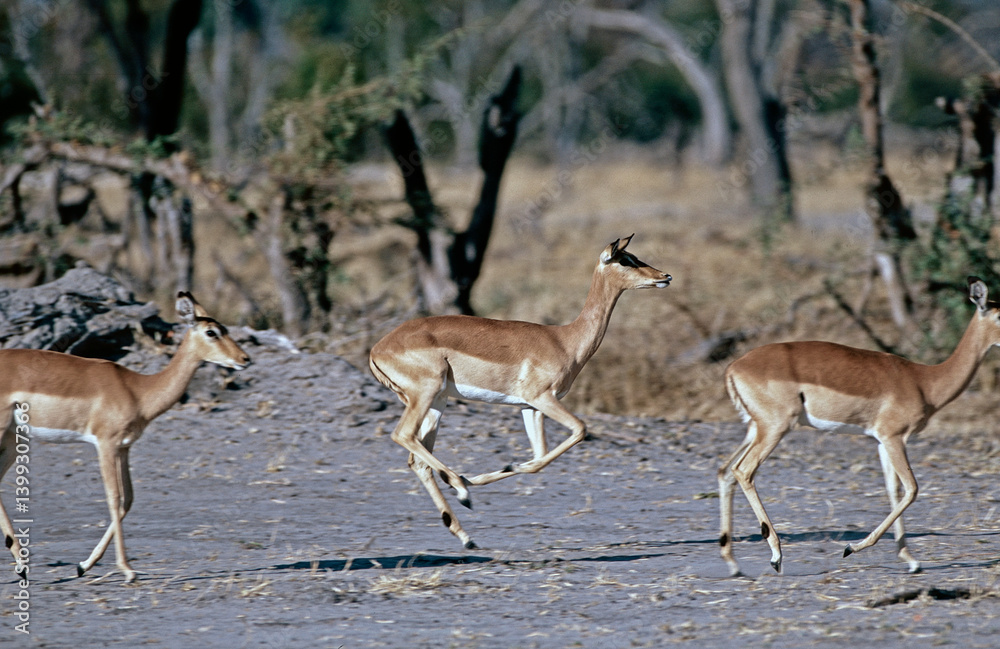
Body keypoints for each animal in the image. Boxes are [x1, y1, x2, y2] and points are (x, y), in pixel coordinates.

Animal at [0, 292, 250, 583]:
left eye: (225, 329)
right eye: (212, 332)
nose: (245, 359)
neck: (138, 391)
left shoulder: (124, 448)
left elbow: (128, 500)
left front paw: (84, 565)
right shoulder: (105, 445)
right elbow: (113, 498)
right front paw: (127, 570)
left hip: (13, 439)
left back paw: (22, 566)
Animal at [369, 235, 670, 549]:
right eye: (625, 260)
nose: (664, 276)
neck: (565, 341)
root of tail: (377, 349)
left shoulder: (529, 407)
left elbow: (538, 457)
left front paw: (494, 472)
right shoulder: (543, 398)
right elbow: (579, 429)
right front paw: (476, 479)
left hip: (438, 402)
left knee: (419, 460)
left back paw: (466, 534)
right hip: (426, 395)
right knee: (403, 435)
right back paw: (462, 491)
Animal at [719, 277, 1000, 576]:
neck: (924, 381)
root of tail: (734, 367)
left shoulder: (882, 442)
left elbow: (893, 490)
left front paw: (909, 559)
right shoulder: (894, 437)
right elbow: (911, 489)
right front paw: (851, 548)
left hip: (755, 428)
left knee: (725, 471)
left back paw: (733, 563)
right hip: (775, 428)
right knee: (743, 471)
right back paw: (775, 557)